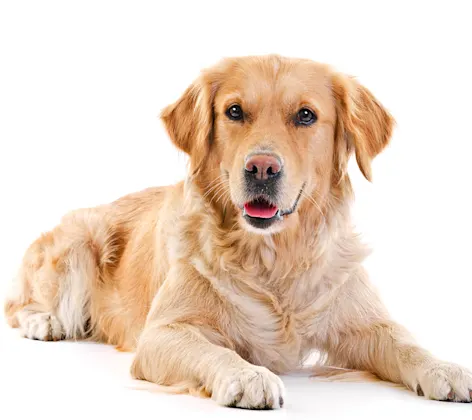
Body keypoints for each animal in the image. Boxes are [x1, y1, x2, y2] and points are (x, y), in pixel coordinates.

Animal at [4, 54, 472, 408]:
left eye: (306, 115)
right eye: (234, 111)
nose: (261, 168)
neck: (272, 257)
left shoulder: (362, 323)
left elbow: (404, 341)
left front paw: (444, 367)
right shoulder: (162, 333)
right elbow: (214, 349)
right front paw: (248, 376)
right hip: (78, 243)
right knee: (19, 303)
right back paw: (44, 320)